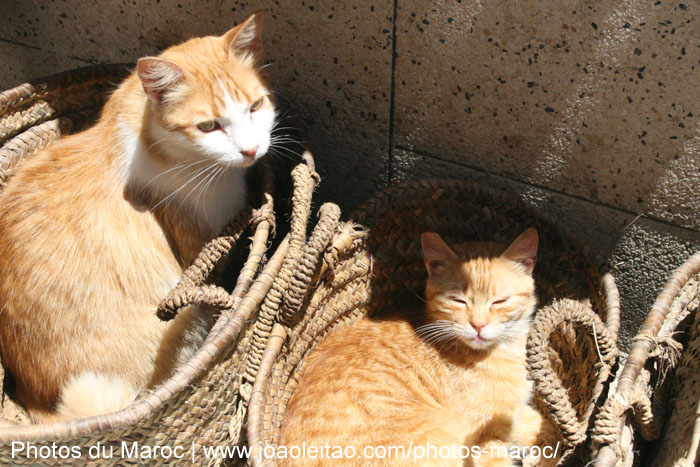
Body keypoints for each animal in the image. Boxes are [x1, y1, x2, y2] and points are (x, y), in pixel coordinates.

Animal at [0, 13, 276, 424]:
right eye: (208, 126)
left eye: (256, 105)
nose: (251, 149)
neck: (152, 138)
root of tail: (35, 396)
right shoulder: (202, 245)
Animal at [278, 230, 556, 467]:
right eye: (458, 300)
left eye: (499, 301)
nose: (478, 325)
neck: (505, 348)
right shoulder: (482, 433)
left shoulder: (510, 413)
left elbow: (541, 424)